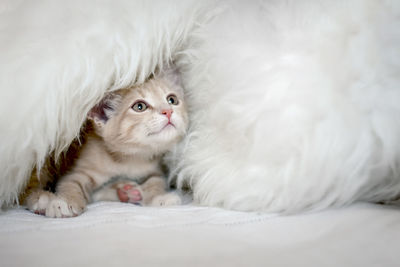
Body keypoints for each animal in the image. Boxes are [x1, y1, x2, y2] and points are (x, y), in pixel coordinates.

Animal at [25, 71, 188, 218]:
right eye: (140, 107)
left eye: (172, 100)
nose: (168, 111)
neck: (129, 158)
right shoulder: (78, 171)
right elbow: (71, 184)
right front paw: (66, 202)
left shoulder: (155, 170)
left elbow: (156, 181)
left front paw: (158, 197)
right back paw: (42, 199)